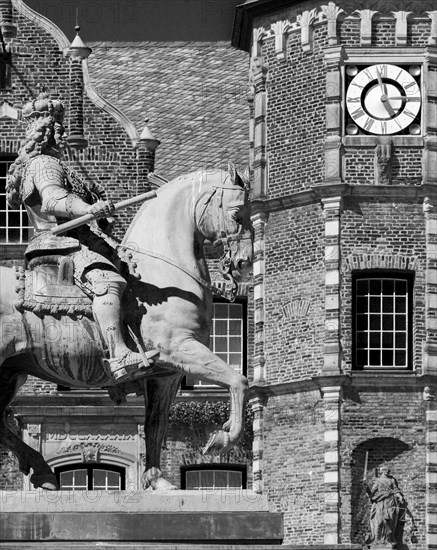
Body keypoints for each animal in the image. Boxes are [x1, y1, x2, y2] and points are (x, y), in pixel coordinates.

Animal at [0, 166, 252, 494]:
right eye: (237, 213)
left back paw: (41, 471)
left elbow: (156, 425)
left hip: (9, 374)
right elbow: (238, 380)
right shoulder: (180, 349)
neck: (160, 274)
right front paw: (221, 439)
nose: (245, 262)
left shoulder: (165, 374)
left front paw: (157, 480)